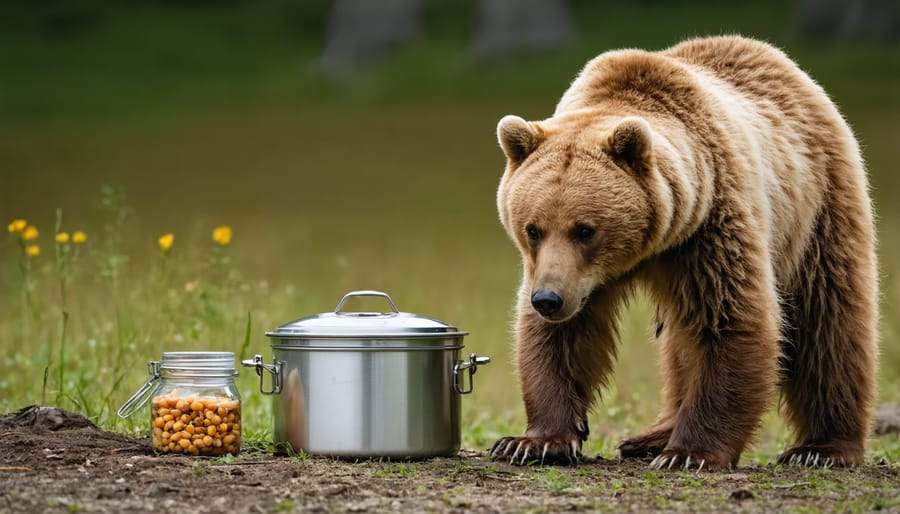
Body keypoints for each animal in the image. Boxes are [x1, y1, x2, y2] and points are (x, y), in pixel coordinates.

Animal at [489, 35, 878, 470]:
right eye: (533, 229)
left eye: (585, 230)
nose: (548, 299)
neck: (653, 245)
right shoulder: (571, 275)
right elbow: (561, 338)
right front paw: (534, 441)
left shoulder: (711, 226)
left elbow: (732, 319)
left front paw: (690, 453)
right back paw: (650, 437)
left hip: (816, 207)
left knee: (827, 320)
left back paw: (821, 448)